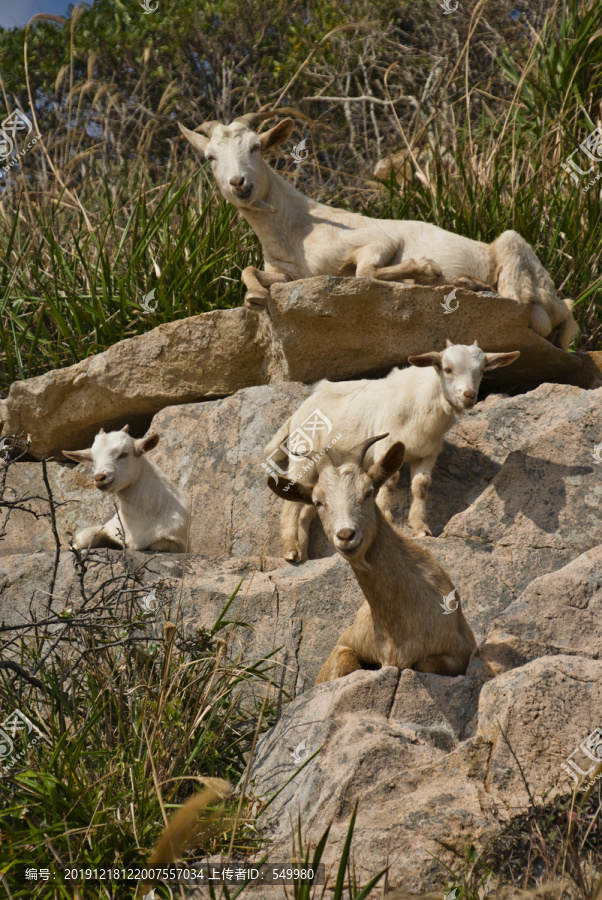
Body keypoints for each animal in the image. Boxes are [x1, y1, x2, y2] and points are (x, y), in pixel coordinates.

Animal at [61, 426, 189, 552]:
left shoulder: (175, 543)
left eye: (123, 454)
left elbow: (158, 545)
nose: (99, 478)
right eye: (93, 459)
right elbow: (86, 538)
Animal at [180, 108, 580, 348]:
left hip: (517, 253)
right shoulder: (289, 273)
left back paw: (468, 284)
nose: (239, 184)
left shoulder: (377, 240)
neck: (297, 228)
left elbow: (365, 271)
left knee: (521, 301)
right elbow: (249, 271)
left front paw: (424, 270)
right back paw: (467, 283)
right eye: (209, 157)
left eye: (256, 147)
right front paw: (254, 296)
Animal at [264, 340, 516, 560]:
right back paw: (290, 550)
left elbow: (421, 485)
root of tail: (299, 411)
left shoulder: (428, 452)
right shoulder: (386, 444)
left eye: (481, 370)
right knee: (291, 503)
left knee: (307, 507)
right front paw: (386, 517)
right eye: (447, 369)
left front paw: (420, 528)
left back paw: (304, 555)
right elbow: (390, 480)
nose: (469, 396)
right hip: (303, 457)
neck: (424, 403)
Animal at [268, 434, 474, 684]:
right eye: (318, 502)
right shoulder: (347, 644)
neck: (395, 628)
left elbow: (426, 663)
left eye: (368, 492)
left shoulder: (458, 655)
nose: (346, 535)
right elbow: (345, 661)